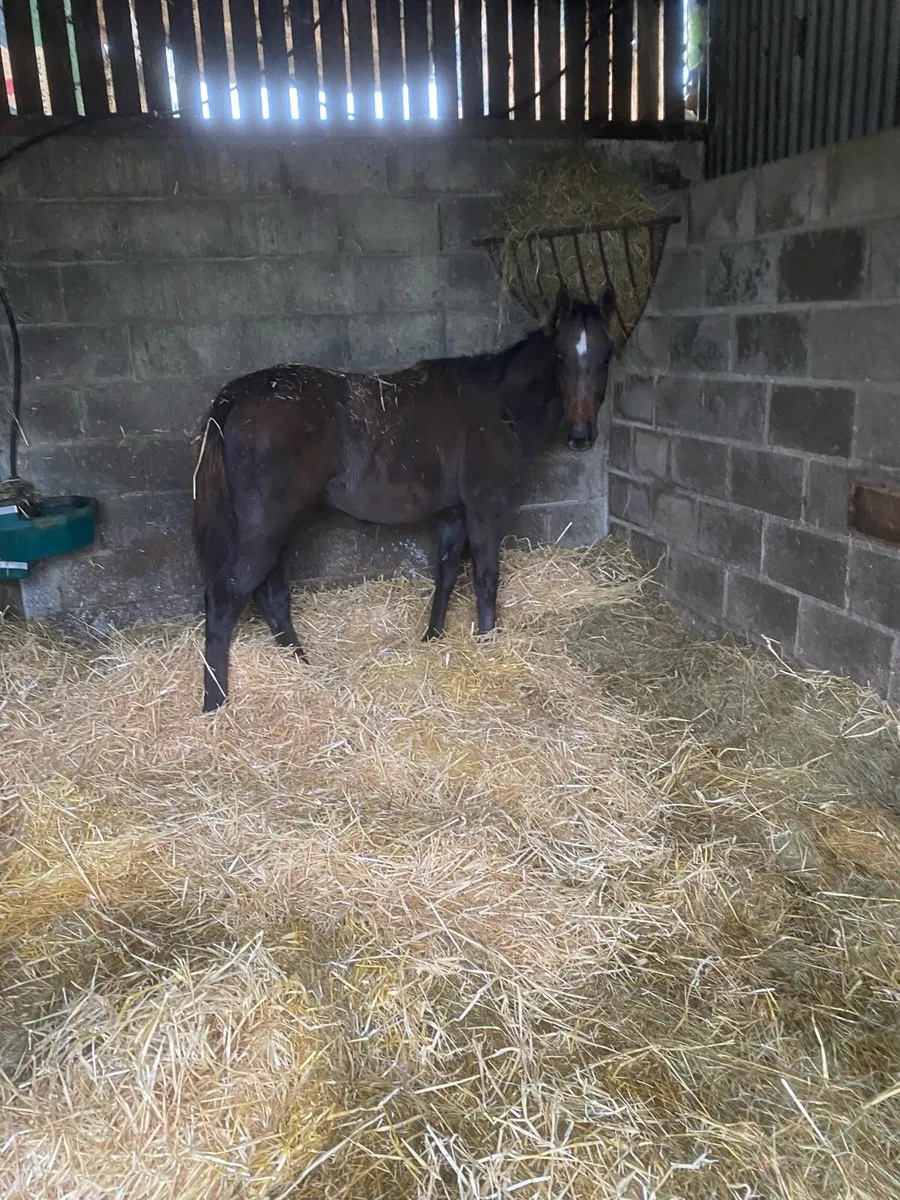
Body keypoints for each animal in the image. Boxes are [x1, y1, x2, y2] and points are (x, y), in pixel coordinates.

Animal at [192, 284, 615, 712]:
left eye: (606, 354)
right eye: (560, 356)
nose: (581, 436)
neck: (498, 405)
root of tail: (237, 395)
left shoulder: (454, 512)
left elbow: (446, 572)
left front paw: (433, 637)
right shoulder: (484, 506)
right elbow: (486, 576)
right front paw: (487, 644)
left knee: (272, 594)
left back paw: (300, 667)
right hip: (264, 528)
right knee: (225, 597)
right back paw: (216, 704)